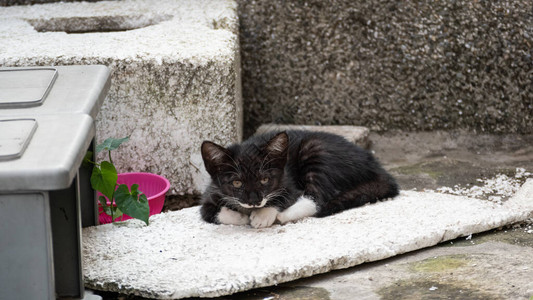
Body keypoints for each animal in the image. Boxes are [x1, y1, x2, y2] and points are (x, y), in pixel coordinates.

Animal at [201, 131, 400, 227]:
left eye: (265, 180)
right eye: (237, 183)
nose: (254, 201)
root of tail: (374, 164)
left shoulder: (289, 183)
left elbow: (285, 196)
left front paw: (262, 215)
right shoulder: (211, 192)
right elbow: (208, 212)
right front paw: (240, 217)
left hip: (314, 149)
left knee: (316, 198)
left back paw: (282, 216)